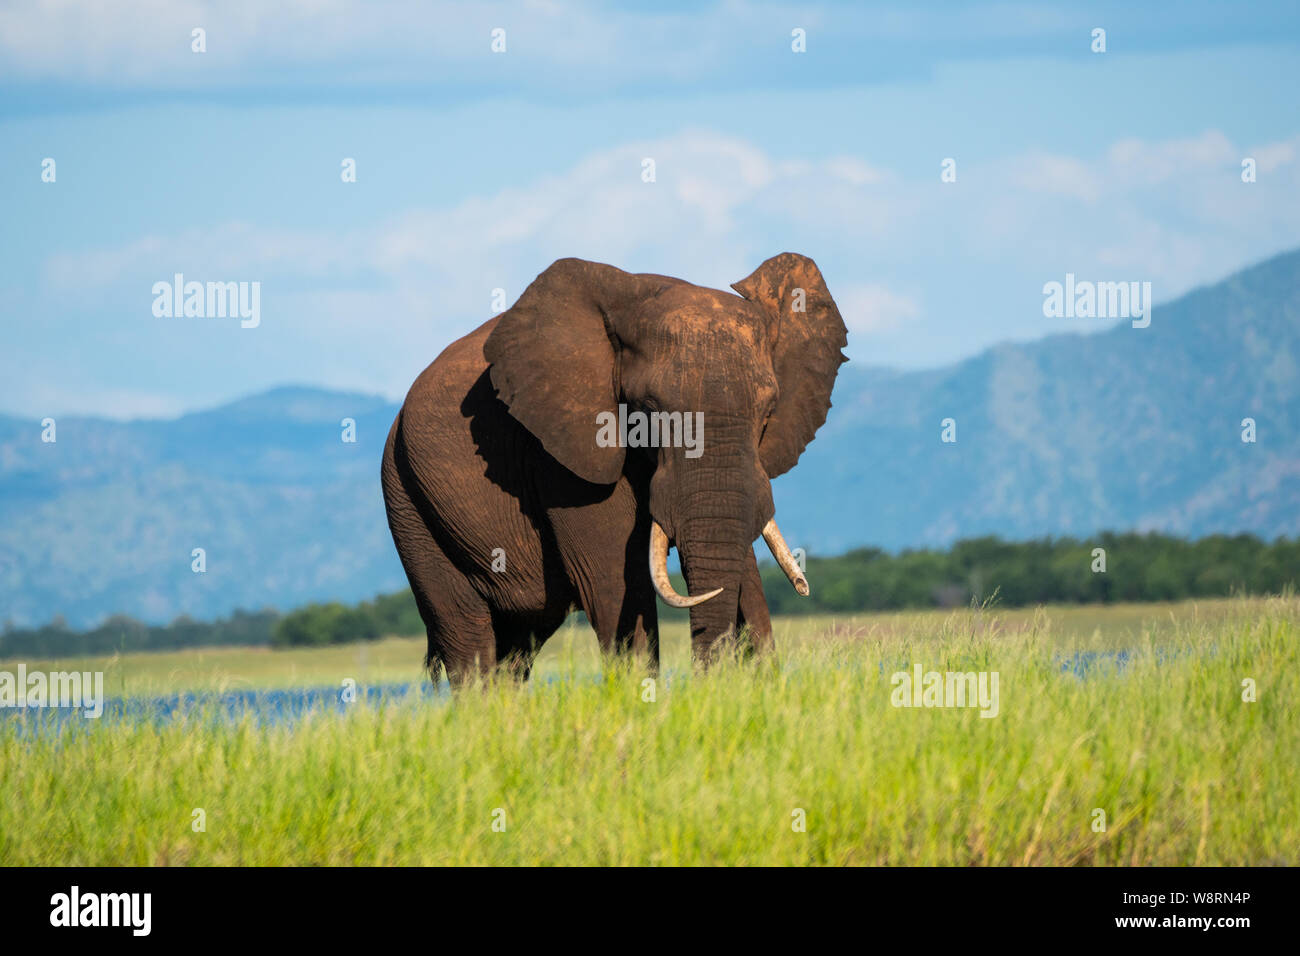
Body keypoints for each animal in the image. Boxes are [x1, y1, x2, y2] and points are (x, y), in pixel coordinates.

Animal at [379, 252, 847, 686]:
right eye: (650, 410)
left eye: (769, 410)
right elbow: (615, 583)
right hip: (408, 502)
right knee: (467, 636)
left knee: (517, 645)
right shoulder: (560, 457)